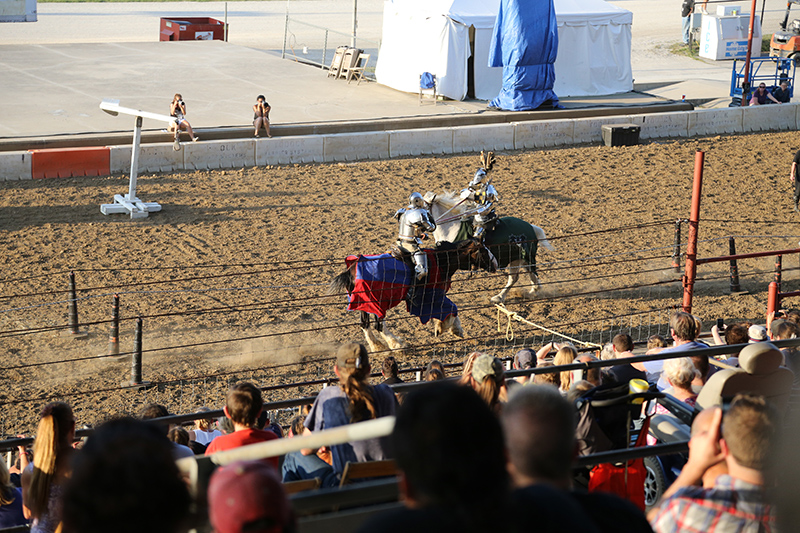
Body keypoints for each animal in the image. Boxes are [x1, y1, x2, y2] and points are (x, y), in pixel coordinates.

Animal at [328, 239, 496, 352]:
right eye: (483, 249)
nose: (495, 263)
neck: (441, 261)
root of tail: (350, 271)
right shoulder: (432, 297)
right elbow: (450, 308)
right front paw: (447, 328)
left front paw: (455, 329)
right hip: (377, 302)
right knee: (378, 324)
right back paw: (397, 344)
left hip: (365, 303)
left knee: (365, 324)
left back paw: (378, 346)